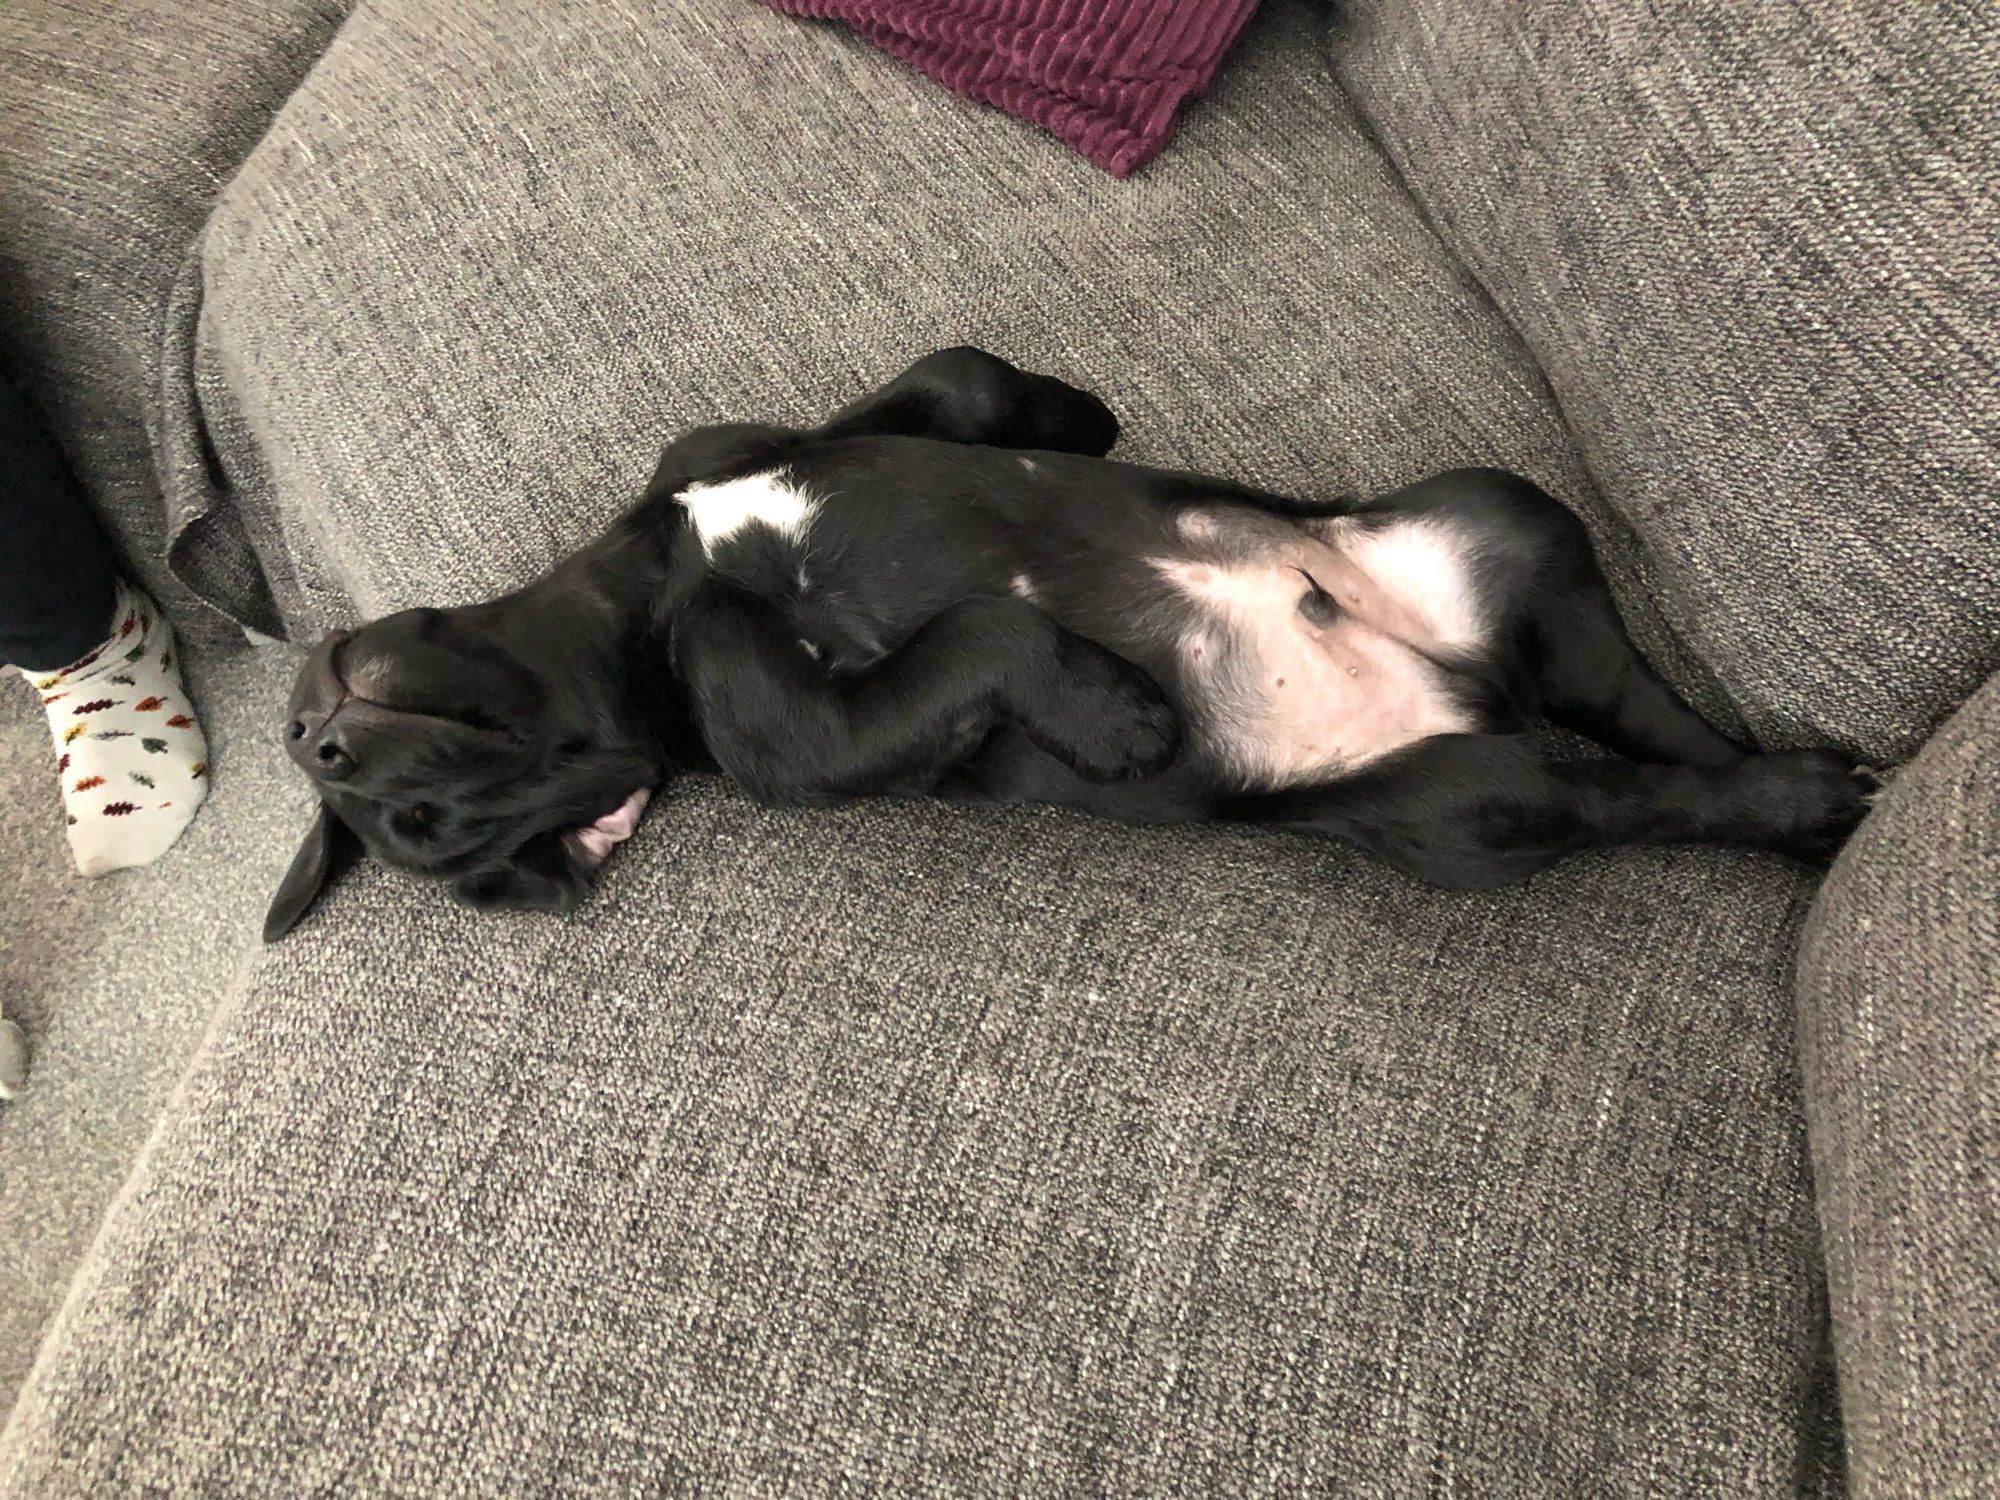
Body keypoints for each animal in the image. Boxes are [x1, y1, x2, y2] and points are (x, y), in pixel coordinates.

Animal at [258, 348, 1864, 944]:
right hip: (1470, 804)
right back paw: (1794, 800)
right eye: (435, 840)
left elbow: (949, 384)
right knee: (1636, 787)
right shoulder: (821, 739)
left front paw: (1073, 422)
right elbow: (984, 626)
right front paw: (1115, 713)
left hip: (1509, 523)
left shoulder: (740, 451)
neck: (651, 596)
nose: (326, 747)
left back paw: (1792, 777)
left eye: (398, 810)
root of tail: (1470, 682)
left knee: (1636, 703)